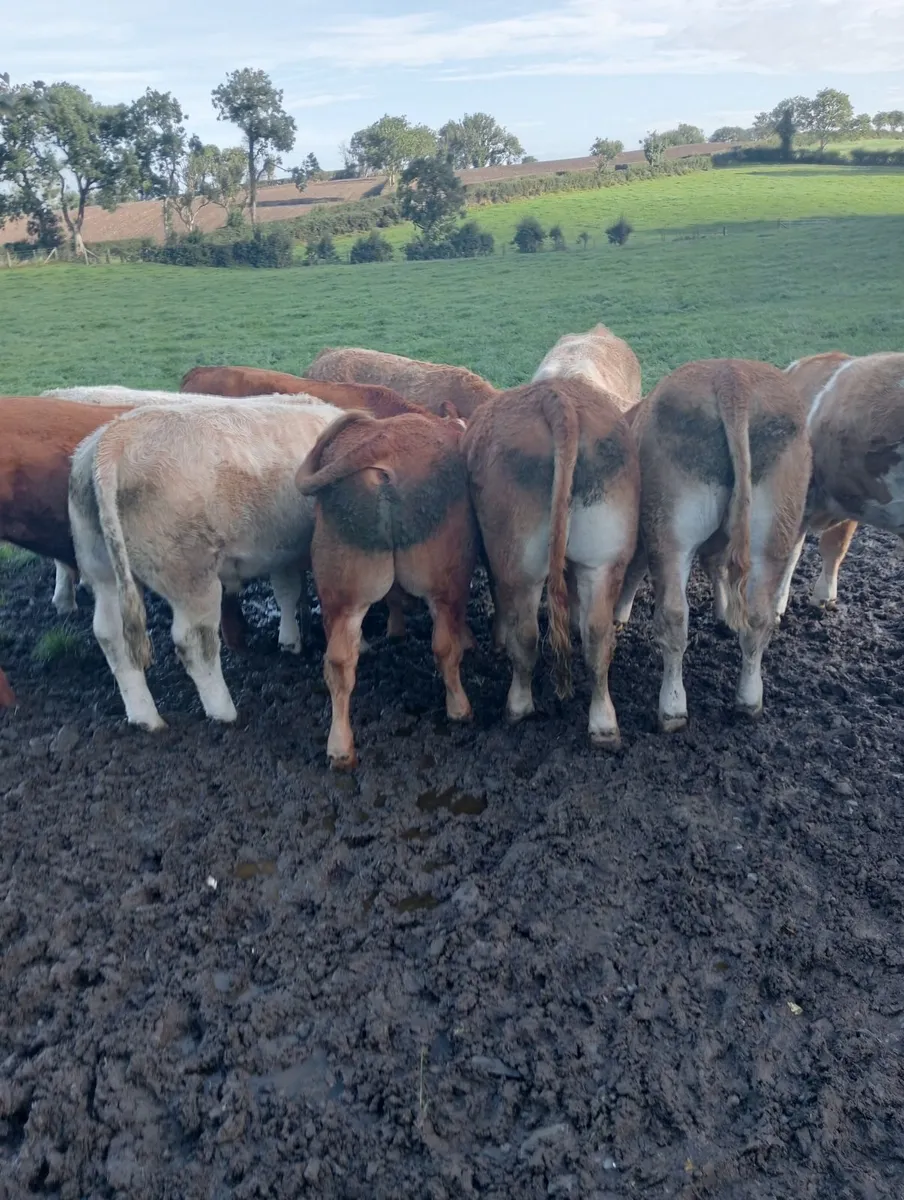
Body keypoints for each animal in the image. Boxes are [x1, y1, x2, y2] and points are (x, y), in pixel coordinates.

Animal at [68, 399, 344, 730]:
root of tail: (115, 437)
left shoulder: (283, 549)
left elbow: (287, 593)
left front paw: (289, 641)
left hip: (103, 571)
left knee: (111, 636)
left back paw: (145, 717)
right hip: (191, 576)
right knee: (194, 643)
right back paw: (223, 711)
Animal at [296, 409, 478, 769]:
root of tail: (383, 440)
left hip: (342, 587)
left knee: (338, 662)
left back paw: (340, 748)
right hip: (445, 578)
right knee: (444, 646)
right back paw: (459, 707)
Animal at [463, 378, 639, 749]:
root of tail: (556, 398)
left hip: (519, 561)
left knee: (527, 634)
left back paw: (517, 707)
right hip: (605, 557)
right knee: (597, 636)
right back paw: (604, 724)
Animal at [617, 359, 810, 731]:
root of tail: (732, 377)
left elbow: (633, 572)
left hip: (671, 528)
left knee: (675, 615)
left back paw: (673, 708)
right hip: (773, 529)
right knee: (757, 616)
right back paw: (748, 699)